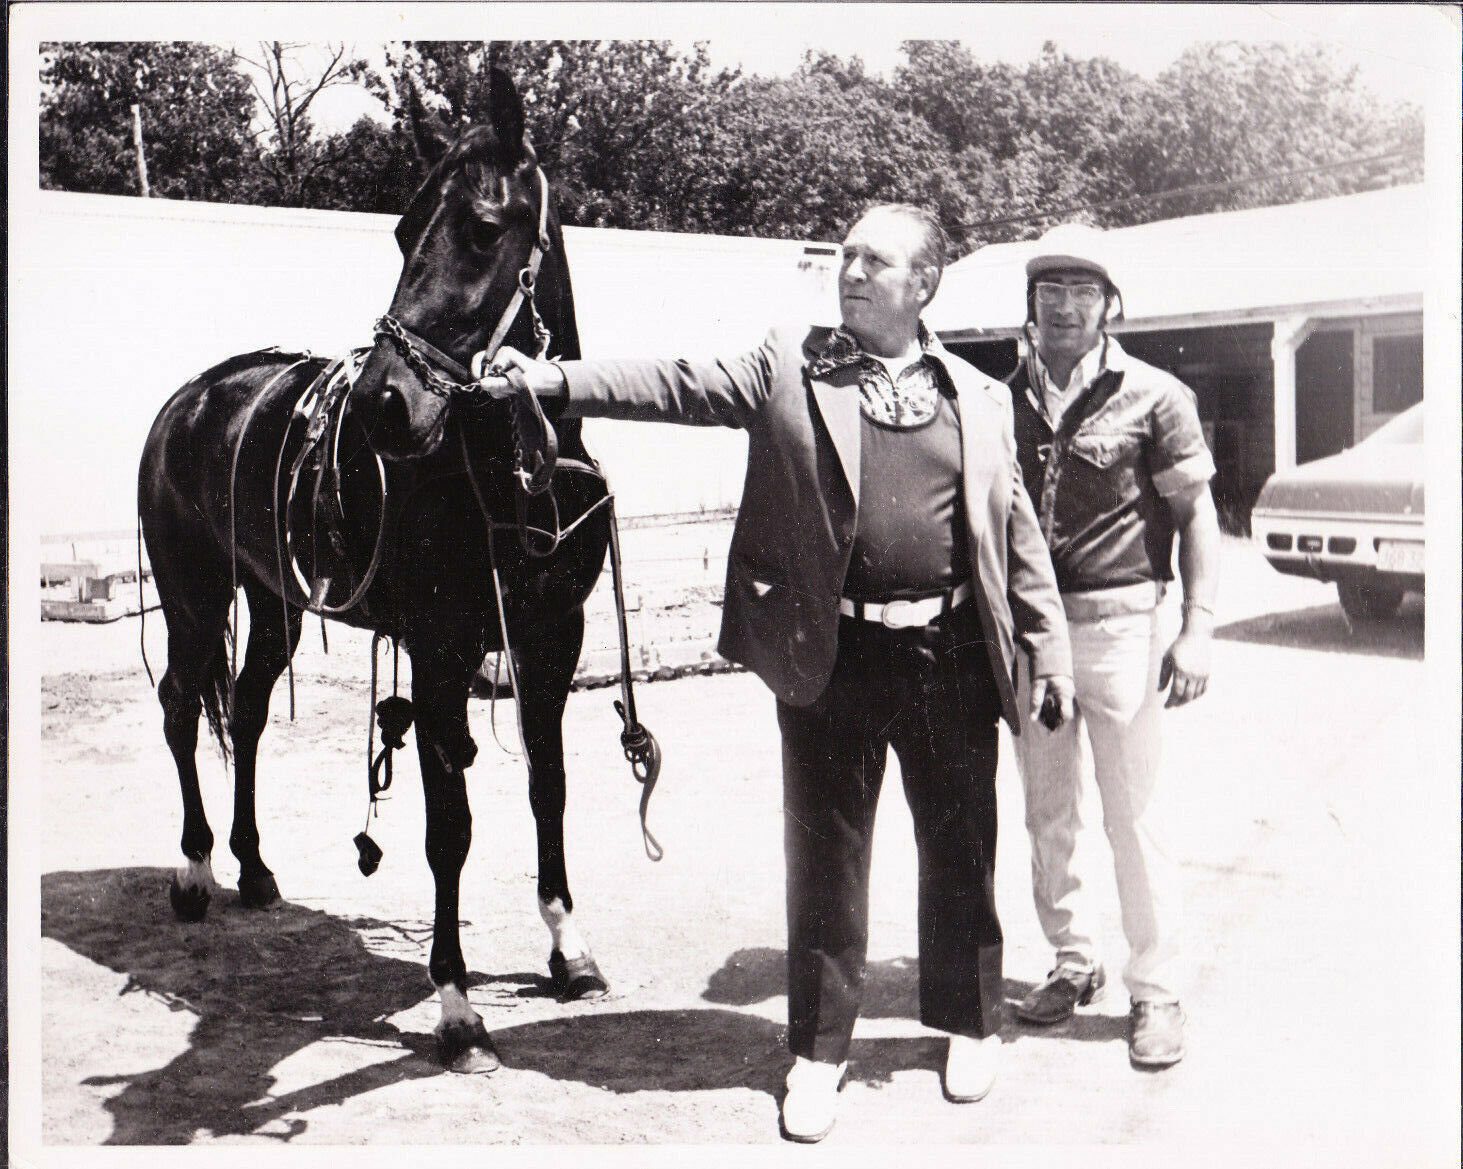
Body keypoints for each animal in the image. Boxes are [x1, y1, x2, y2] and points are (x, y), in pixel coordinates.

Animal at [137, 70, 617, 1076]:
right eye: (402, 231)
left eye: (482, 226)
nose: (383, 403)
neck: (514, 472)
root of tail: (190, 398)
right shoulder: (438, 656)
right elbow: (450, 830)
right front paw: (457, 1006)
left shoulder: (553, 641)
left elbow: (547, 787)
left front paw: (569, 947)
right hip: (194, 595)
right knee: (180, 706)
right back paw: (195, 869)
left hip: (274, 603)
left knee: (243, 708)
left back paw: (253, 866)